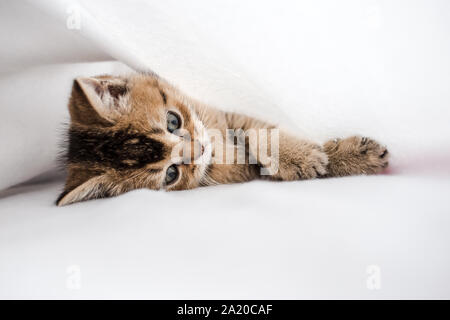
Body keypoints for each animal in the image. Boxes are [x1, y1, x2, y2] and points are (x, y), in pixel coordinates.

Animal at [55, 73, 386, 206]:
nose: (200, 149)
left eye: (173, 121)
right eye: (171, 174)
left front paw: (313, 155)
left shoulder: (230, 118)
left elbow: (256, 131)